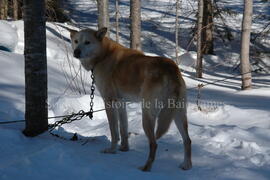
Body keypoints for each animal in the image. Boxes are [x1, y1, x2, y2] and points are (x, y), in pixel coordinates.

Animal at [69, 27, 192, 172]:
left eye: (87, 42)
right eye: (76, 41)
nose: (76, 52)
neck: (103, 55)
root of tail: (170, 68)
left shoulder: (109, 102)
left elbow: (114, 131)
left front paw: (112, 150)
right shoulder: (121, 103)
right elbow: (123, 128)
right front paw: (124, 148)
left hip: (148, 115)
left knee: (154, 144)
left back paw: (146, 167)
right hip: (177, 114)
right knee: (187, 140)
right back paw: (186, 165)